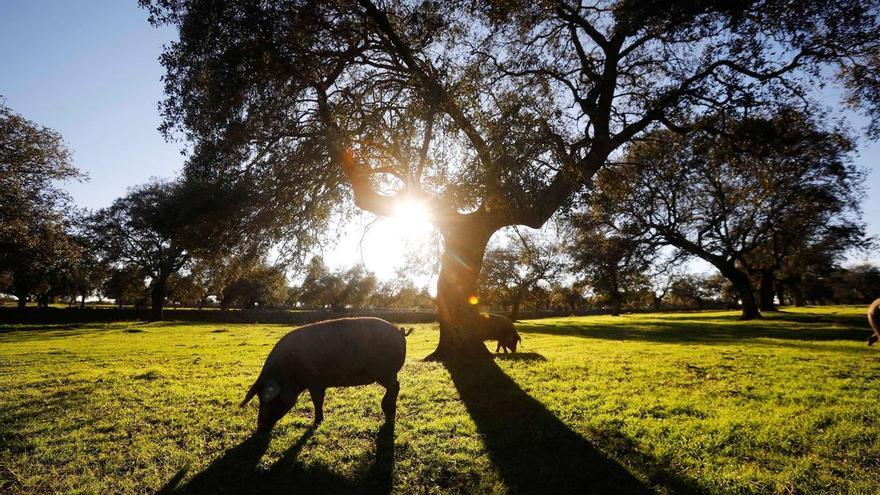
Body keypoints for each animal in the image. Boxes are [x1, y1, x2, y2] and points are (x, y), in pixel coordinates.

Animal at [237, 320, 410, 432]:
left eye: (267, 398)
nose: (259, 427)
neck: (288, 373)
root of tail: (400, 333)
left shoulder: (316, 383)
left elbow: (317, 402)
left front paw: (316, 423)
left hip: (384, 372)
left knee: (396, 386)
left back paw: (388, 411)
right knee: (396, 385)